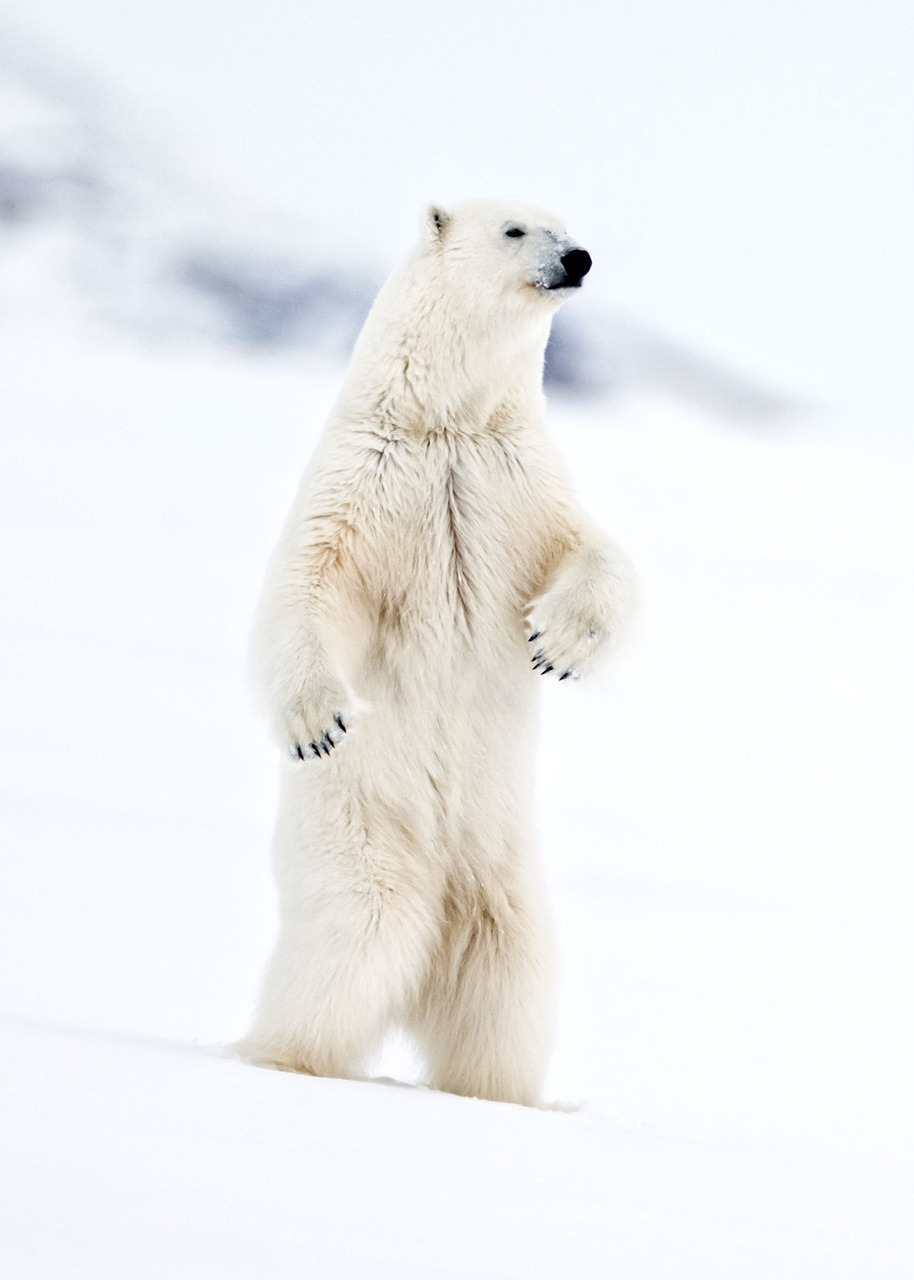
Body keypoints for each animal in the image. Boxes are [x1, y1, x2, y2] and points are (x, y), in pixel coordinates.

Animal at [238, 199, 629, 1111]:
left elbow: (592, 549)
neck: (445, 421)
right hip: (361, 835)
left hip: (506, 880)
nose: (580, 259)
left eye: (564, 221)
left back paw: (509, 1094)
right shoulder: (367, 476)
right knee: (357, 935)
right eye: (516, 228)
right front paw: (318, 722)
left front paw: (554, 647)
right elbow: (307, 583)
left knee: (510, 986)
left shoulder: (515, 474)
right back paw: (280, 1056)